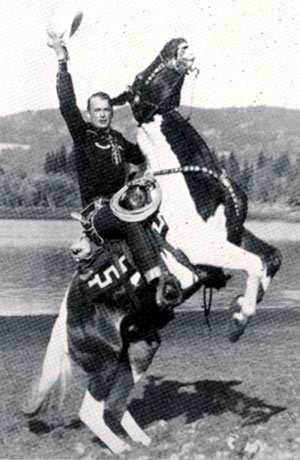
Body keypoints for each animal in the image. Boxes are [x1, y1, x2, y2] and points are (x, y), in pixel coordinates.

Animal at [112, 37, 282, 340]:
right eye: (140, 78)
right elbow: (254, 263)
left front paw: (241, 304)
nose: (176, 42)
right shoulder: (204, 248)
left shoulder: (233, 233)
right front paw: (239, 319)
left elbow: (272, 258)